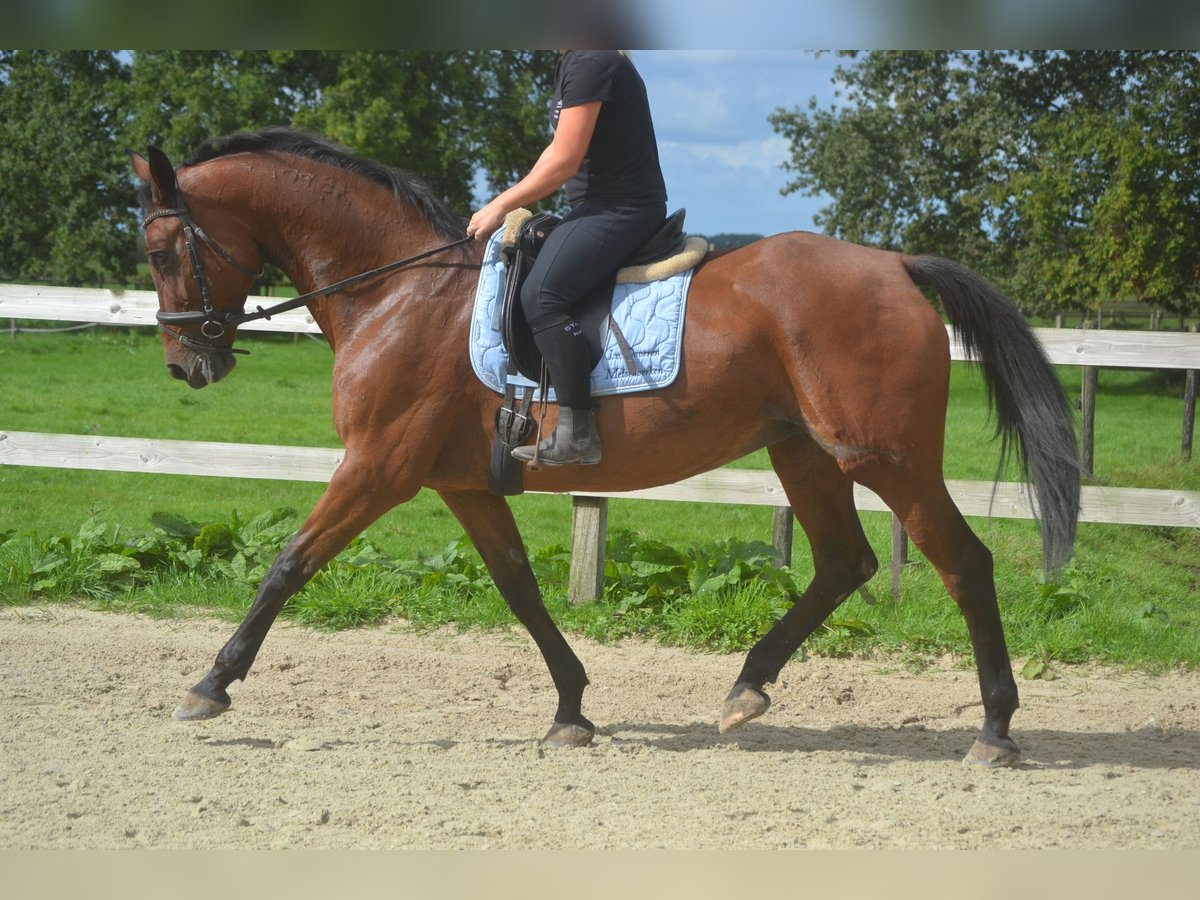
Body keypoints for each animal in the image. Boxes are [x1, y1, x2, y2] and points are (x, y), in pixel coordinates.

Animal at [129, 128, 1080, 768]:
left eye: (162, 247)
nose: (183, 363)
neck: (400, 292)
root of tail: (895, 264)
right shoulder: (464, 485)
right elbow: (520, 589)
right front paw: (571, 709)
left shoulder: (379, 468)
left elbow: (289, 564)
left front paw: (209, 686)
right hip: (804, 452)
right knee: (845, 562)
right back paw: (746, 689)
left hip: (884, 457)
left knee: (963, 562)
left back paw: (996, 730)